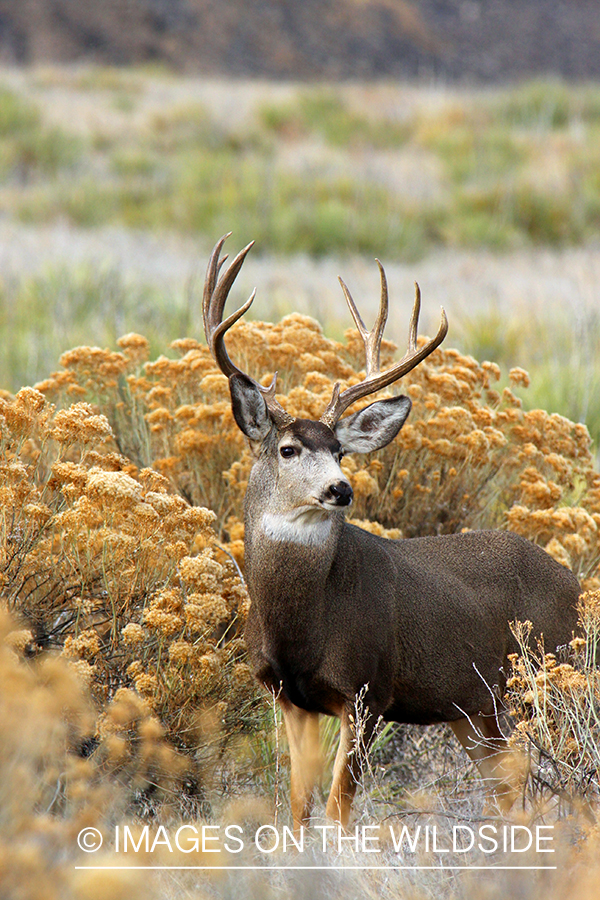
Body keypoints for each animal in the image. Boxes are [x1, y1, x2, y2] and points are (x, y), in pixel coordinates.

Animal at [203, 236, 580, 832]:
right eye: (288, 449)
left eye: (339, 450)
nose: (340, 489)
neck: (302, 625)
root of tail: (578, 585)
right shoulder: (287, 696)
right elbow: (298, 808)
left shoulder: (368, 689)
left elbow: (336, 809)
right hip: (475, 710)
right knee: (509, 792)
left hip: (549, 676)